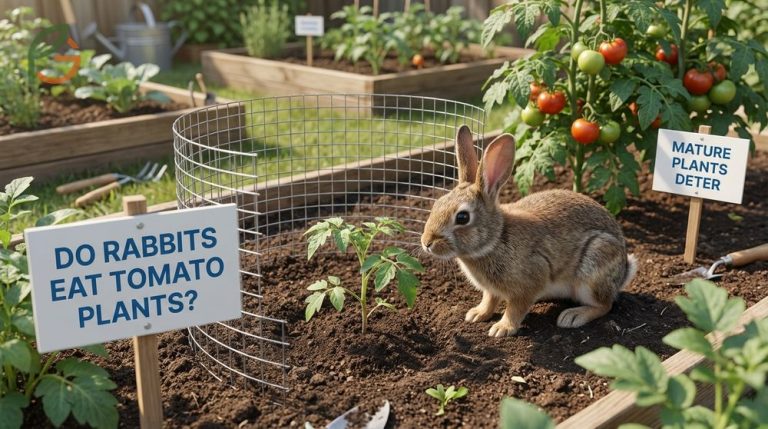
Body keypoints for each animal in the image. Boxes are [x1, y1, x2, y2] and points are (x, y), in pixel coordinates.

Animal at [420, 125, 637, 337]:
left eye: (462, 217)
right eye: (437, 204)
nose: (426, 242)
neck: (496, 238)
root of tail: (624, 271)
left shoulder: (530, 281)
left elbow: (515, 309)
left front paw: (502, 328)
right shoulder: (491, 290)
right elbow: (489, 300)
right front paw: (477, 314)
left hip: (594, 264)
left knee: (605, 305)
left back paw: (573, 316)